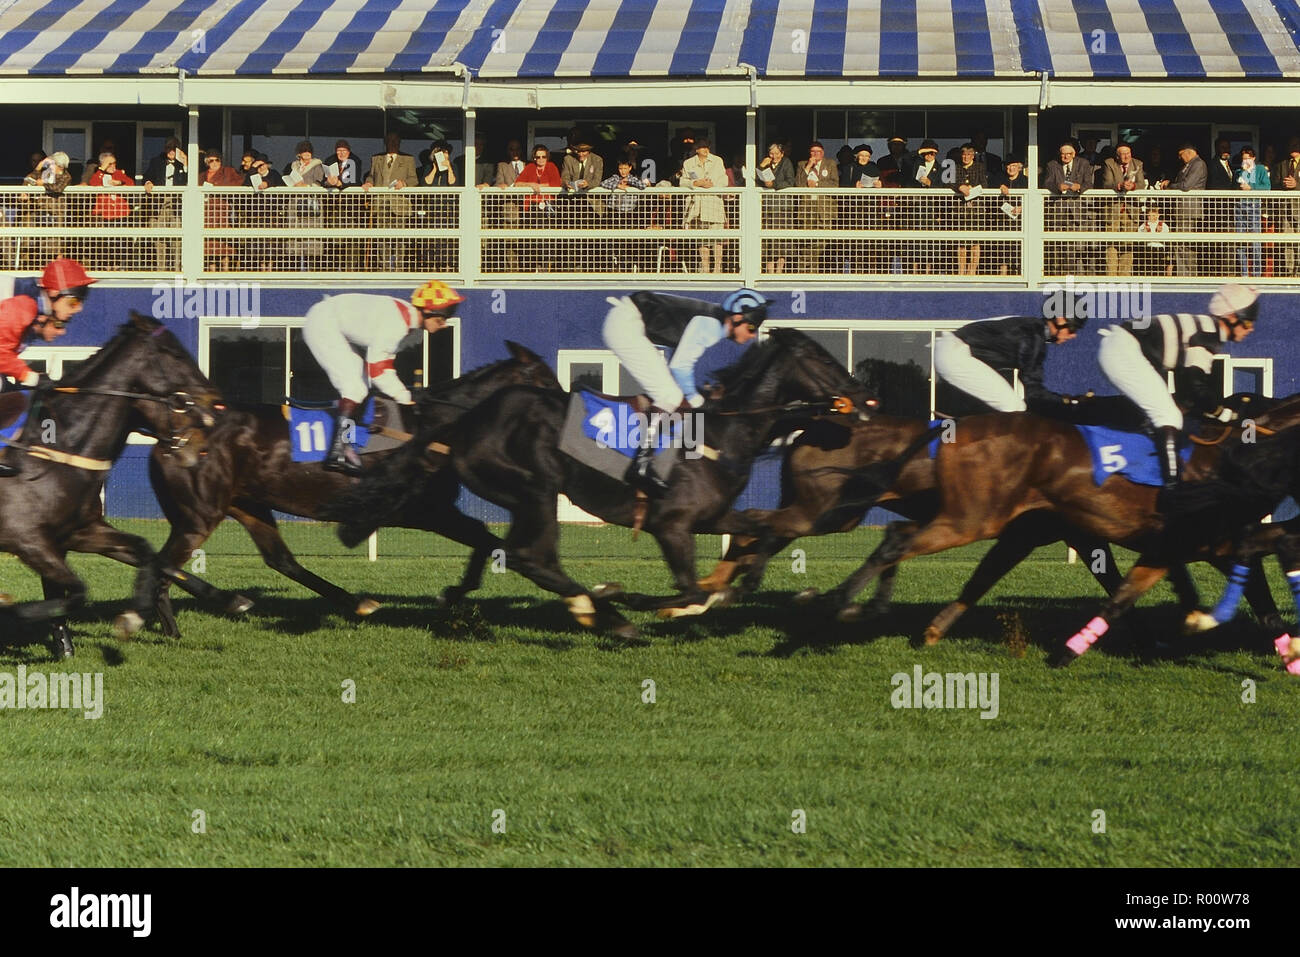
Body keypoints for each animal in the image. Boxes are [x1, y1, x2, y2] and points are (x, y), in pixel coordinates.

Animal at [1, 314, 226, 657]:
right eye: (174, 353)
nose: (214, 403)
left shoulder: (78, 532)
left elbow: (148, 553)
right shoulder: (26, 539)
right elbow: (77, 592)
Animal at [148, 338, 564, 634]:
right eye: (546, 381)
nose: (568, 423)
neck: (429, 428)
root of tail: (169, 438)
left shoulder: (432, 512)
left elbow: (484, 540)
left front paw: (456, 592)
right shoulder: (426, 511)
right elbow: (489, 540)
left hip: (246, 503)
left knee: (280, 560)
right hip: (201, 513)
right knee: (161, 562)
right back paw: (179, 621)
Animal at [325, 327, 873, 634]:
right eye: (822, 358)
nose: (863, 397)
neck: (722, 431)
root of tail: (463, 421)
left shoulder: (713, 516)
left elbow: (754, 532)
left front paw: (749, 583)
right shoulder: (672, 525)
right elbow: (688, 589)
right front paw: (631, 598)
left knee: (510, 550)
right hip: (536, 487)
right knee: (531, 556)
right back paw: (605, 614)